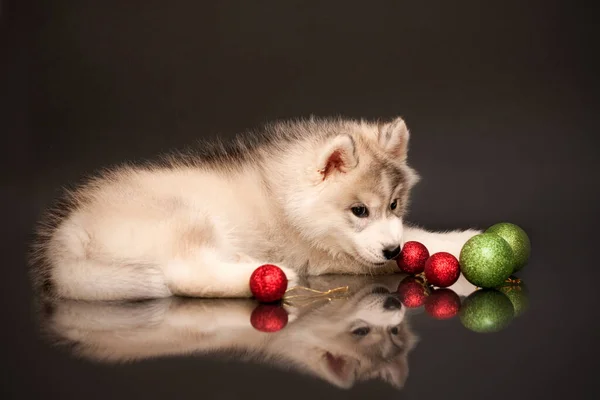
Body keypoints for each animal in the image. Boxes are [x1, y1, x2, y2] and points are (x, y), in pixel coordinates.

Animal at [30, 115, 480, 300]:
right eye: (359, 211)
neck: (287, 194)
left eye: (394, 204)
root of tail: (68, 231)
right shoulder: (328, 257)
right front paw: (462, 239)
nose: (391, 250)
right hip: (184, 217)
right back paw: (267, 274)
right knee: (185, 274)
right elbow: (422, 241)